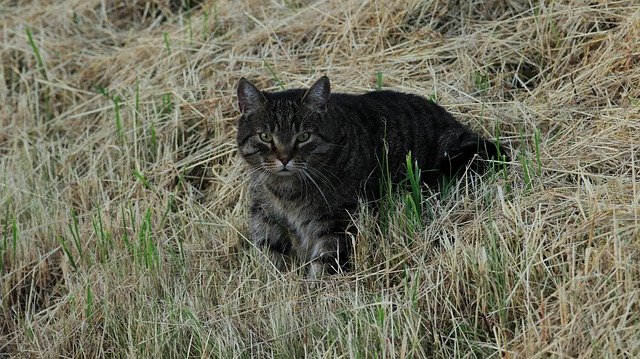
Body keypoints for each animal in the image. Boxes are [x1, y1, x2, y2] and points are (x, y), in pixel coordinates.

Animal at [238, 76, 508, 278]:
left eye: (304, 136)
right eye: (265, 137)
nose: (284, 158)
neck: (287, 191)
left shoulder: (338, 223)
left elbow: (325, 266)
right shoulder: (264, 219)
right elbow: (270, 261)